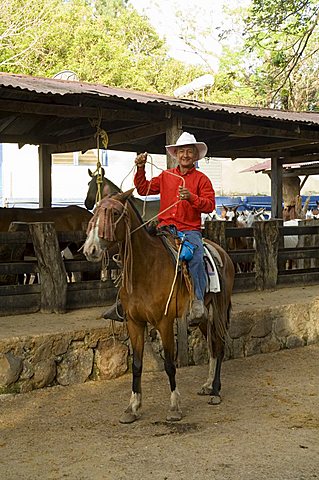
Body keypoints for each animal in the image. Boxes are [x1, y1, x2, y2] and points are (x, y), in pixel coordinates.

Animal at [83, 190, 235, 424]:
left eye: (114, 213)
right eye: (96, 211)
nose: (90, 249)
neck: (146, 267)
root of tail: (223, 254)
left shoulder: (164, 322)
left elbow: (170, 365)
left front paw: (174, 407)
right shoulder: (134, 322)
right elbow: (137, 365)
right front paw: (132, 407)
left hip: (219, 310)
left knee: (218, 344)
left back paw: (216, 391)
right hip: (202, 317)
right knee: (212, 346)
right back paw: (208, 385)